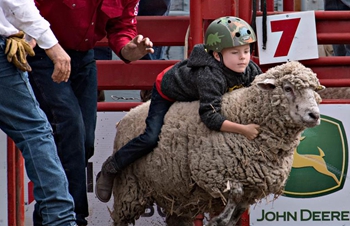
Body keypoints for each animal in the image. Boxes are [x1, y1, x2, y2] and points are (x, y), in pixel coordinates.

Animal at [109, 61, 322, 225]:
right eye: (288, 88)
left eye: (313, 90)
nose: (315, 115)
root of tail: (128, 114)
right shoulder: (212, 174)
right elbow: (235, 194)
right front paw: (218, 220)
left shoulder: (252, 187)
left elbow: (239, 207)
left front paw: (226, 219)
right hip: (129, 189)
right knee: (120, 218)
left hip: (177, 195)